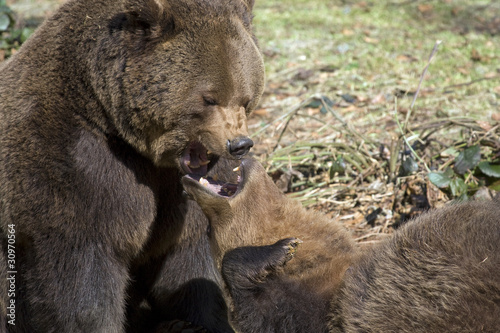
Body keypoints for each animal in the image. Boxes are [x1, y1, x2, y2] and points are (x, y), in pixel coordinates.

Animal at [0, 0, 266, 330]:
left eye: (245, 97)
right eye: (209, 98)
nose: (239, 144)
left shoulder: (178, 194)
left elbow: (189, 263)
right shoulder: (75, 168)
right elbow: (81, 281)